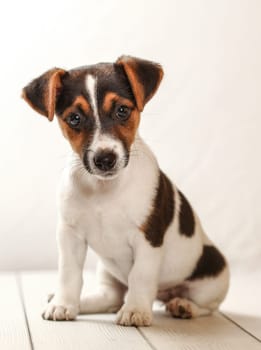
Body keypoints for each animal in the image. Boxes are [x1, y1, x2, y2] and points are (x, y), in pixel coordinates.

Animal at [23, 54, 229, 326]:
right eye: (74, 118)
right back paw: (73, 301)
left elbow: (140, 276)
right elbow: (69, 274)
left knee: (208, 307)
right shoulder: (70, 235)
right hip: (107, 271)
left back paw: (183, 306)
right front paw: (63, 304)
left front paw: (136, 310)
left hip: (213, 280)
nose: (105, 159)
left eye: (122, 110)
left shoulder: (148, 238)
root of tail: (165, 293)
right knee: (110, 298)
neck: (104, 189)